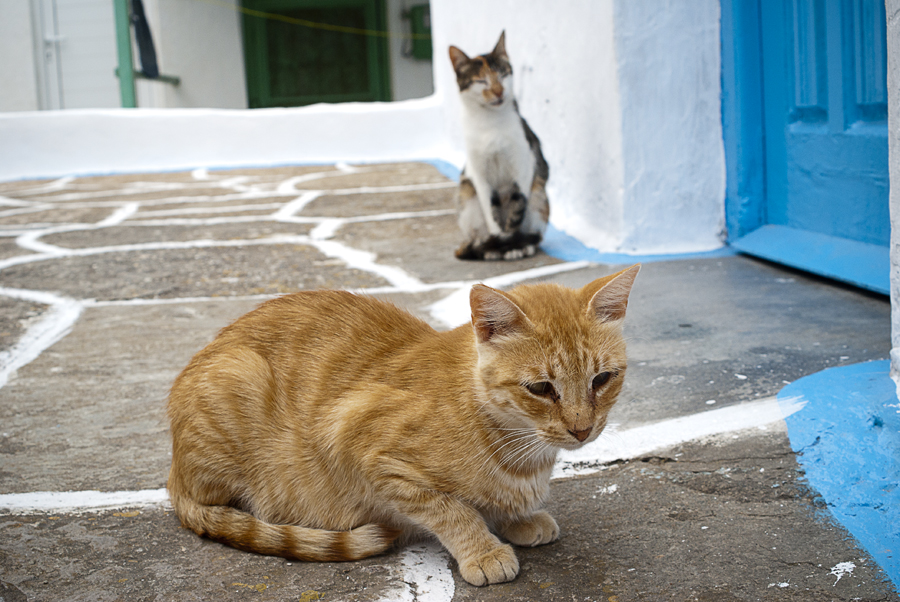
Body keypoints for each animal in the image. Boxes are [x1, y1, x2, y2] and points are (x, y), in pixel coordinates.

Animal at [165, 264, 636, 584]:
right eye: (540, 388)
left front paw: (518, 517)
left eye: (602, 379)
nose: (581, 429)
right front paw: (483, 550)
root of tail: (173, 473)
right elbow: (451, 509)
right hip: (238, 378)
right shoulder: (360, 441)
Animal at [450, 31, 548, 260]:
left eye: (503, 76)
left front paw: (512, 245)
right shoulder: (479, 174)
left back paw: (524, 245)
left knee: (534, 230)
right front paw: (500, 243)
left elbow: (517, 207)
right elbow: (491, 212)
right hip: (467, 196)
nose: (499, 91)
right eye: (481, 81)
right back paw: (487, 248)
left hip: (539, 196)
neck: (490, 123)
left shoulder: (524, 162)